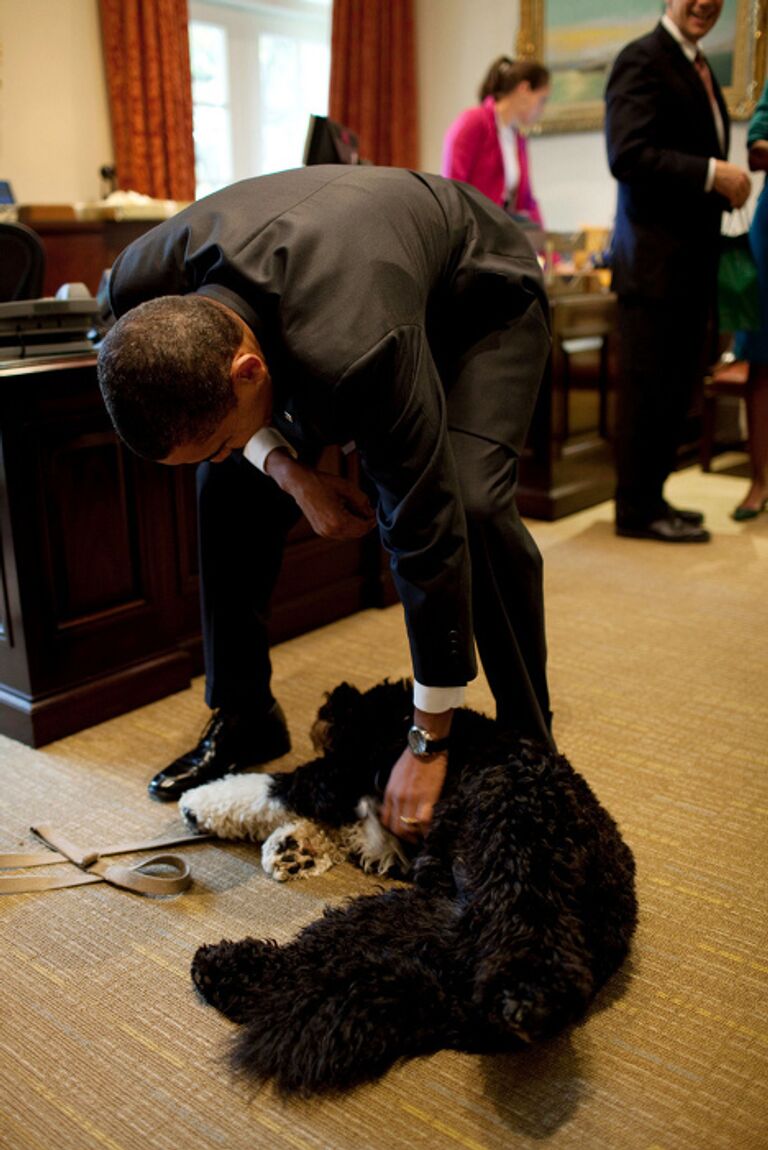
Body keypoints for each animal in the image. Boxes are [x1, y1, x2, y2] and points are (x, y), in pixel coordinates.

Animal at [180, 680, 634, 1094]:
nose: (333, 698)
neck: (394, 724)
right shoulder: (382, 832)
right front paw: (296, 847)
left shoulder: (339, 776)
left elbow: (271, 787)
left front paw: (197, 804)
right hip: (411, 917)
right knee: (324, 952)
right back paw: (230, 971)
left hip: (517, 856)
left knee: (537, 938)